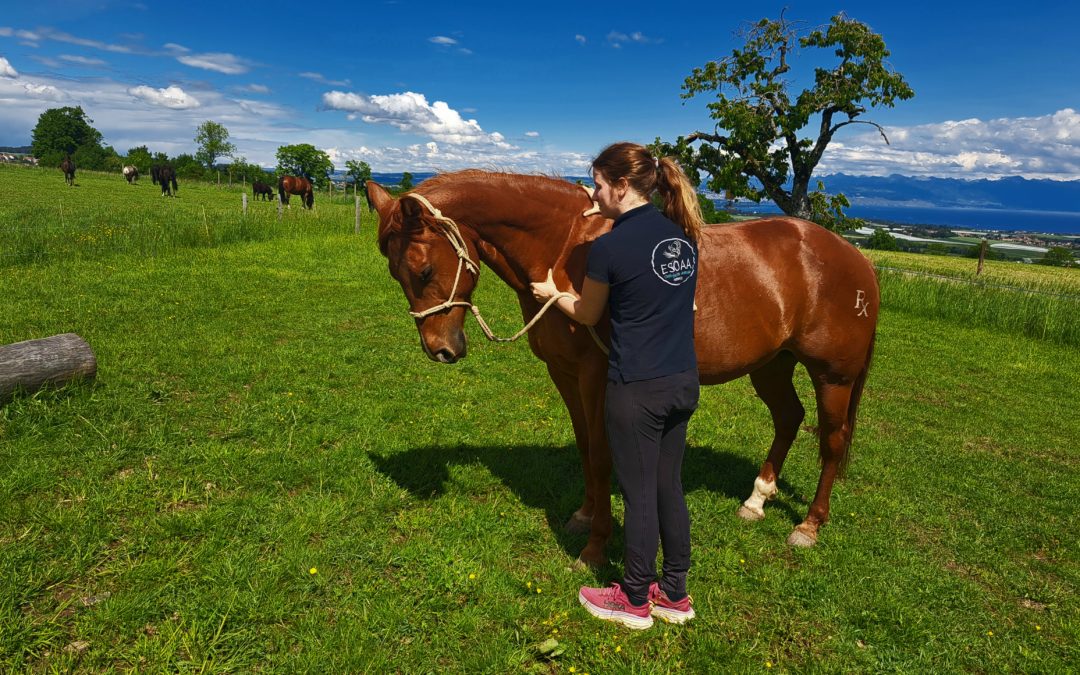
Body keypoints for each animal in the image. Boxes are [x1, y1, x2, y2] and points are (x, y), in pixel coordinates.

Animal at [369, 170, 876, 565]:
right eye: (395, 273)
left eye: (423, 270)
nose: (440, 350)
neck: (564, 248)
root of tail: (855, 258)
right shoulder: (564, 375)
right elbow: (584, 448)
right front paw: (584, 516)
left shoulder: (597, 378)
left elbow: (600, 453)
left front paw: (595, 548)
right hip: (771, 365)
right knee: (789, 418)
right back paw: (756, 500)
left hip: (834, 377)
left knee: (832, 442)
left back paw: (809, 526)